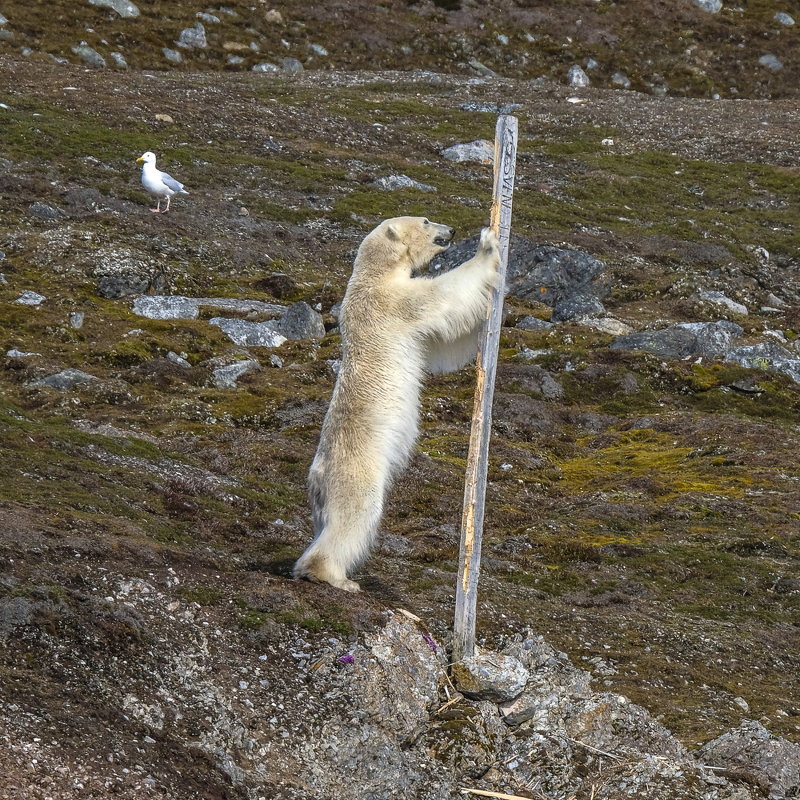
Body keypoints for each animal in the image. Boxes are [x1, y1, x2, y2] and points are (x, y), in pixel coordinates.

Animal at [292, 216, 500, 592]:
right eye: (426, 220)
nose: (451, 230)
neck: (374, 273)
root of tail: (317, 476)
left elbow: (443, 342)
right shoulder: (393, 302)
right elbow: (443, 298)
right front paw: (488, 245)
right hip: (358, 472)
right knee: (354, 515)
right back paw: (334, 577)